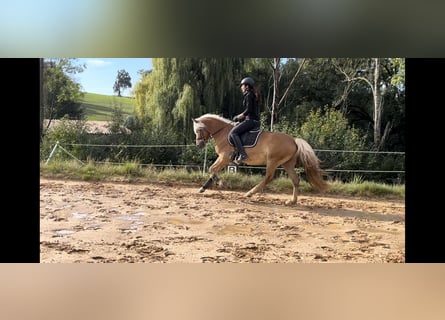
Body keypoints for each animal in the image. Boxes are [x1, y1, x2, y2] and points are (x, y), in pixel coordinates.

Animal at [190, 114, 326, 204]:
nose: (199, 145)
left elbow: (211, 169)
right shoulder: (224, 159)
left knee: (268, 178)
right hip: (287, 164)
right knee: (295, 180)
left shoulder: (224, 157)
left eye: (199, 130)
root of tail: (294, 140)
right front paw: (203, 188)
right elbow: (213, 170)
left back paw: (249, 193)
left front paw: (220, 183)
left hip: (273, 161)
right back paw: (292, 201)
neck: (223, 133)